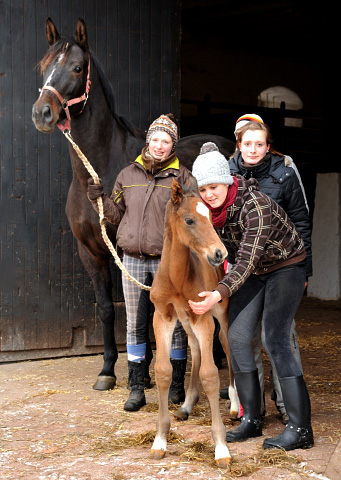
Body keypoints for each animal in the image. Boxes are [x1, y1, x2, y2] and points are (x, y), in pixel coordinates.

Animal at [31, 17, 234, 390]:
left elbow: (140, 308)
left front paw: (149, 370)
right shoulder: (91, 252)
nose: (42, 113)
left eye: (77, 67)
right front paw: (108, 370)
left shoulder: (128, 253)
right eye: (44, 66)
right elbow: (107, 309)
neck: (101, 166)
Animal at [150, 180, 238, 468]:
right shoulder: (163, 316)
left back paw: (235, 405)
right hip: (187, 320)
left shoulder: (204, 317)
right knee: (196, 349)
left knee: (226, 345)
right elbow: (164, 371)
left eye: (210, 215)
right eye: (189, 220)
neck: (177, 278)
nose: (219, 252)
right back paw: (187, 405)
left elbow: (210, 375)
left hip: (219, 313)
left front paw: (221, 447)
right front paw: (160, 440)